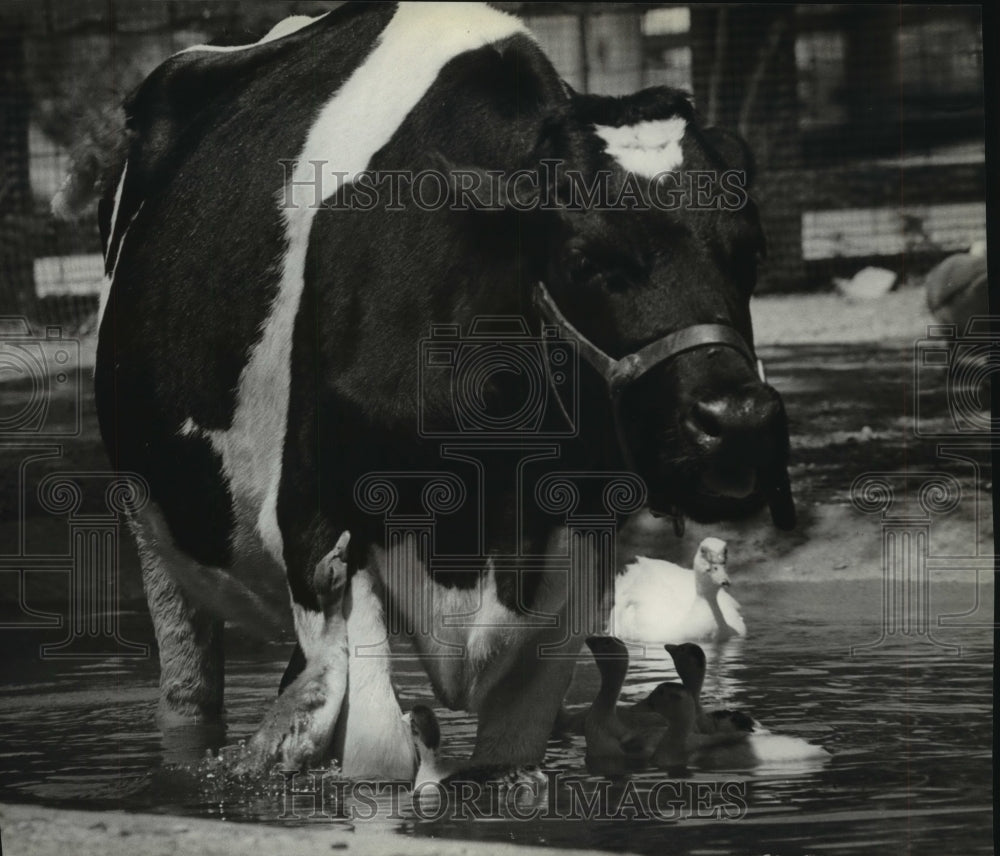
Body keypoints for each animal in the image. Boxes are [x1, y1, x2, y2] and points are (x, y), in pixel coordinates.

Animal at [95, 1, 796, 776]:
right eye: (585, 260)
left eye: (751, 250)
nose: (738, 419)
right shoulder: (322, 540)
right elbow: (378, 755)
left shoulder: (572, 568)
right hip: (155, 528)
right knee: (190, 689)